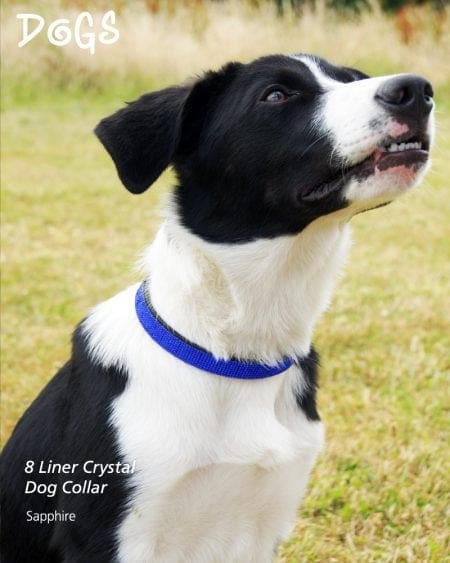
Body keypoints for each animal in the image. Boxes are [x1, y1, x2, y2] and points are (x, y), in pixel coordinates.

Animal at [1, 51, 434, 560]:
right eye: (276, 94)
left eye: (353, 79)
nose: (417, 90)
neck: (231, 352)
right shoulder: (103, 533)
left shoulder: (265, 523)